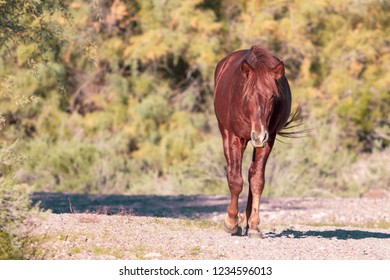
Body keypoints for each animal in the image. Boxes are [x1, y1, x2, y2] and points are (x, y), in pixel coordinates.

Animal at [215, 46, 294, 238]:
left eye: (272, 96)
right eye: (248, 95)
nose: (258, 135)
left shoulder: (268, 140)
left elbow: (257, 180)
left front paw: (254, 225)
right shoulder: (235, 138)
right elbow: (235, 180)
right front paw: (231, 222)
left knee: (252, 173)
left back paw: (247, 221)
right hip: (225, 133)